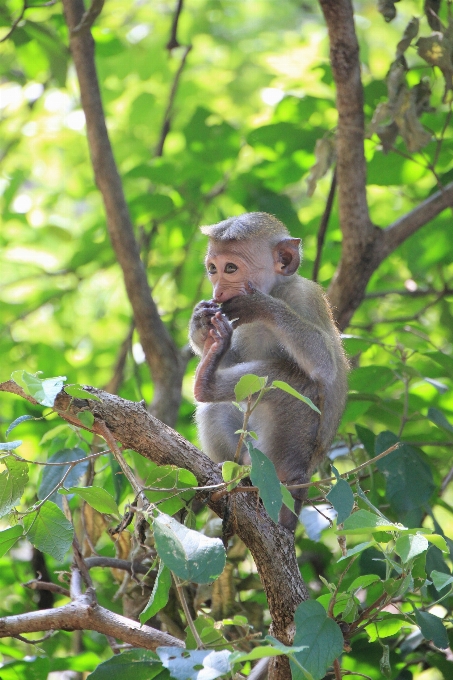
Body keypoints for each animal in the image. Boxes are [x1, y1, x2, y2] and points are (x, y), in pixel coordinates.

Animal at [187, 212, 346, 532]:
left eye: (231, 268)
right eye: (212, 269)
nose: (217, 291)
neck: (276, 288)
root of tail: (301, 480)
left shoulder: (304, 297)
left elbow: (324, 364)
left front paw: (261, 305)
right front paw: (200, 324)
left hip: (288, 448)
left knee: (299, 382)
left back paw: (206, 384)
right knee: (216, 408)